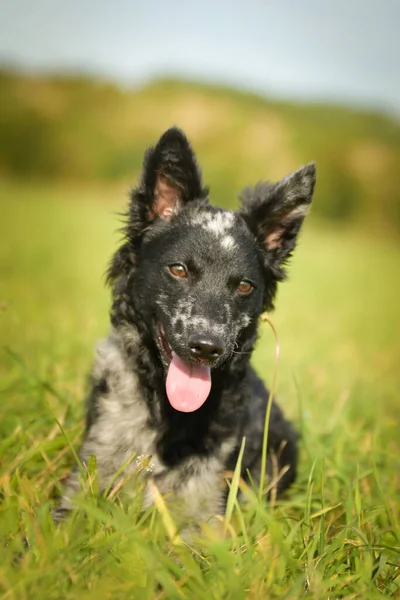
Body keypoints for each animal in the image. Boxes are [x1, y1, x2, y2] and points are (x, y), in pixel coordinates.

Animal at [52, 125, 316, 524]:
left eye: (244, 286)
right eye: (179, 269)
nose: (206, 348)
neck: (168, 414)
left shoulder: (202, 514)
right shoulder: (84, 483)